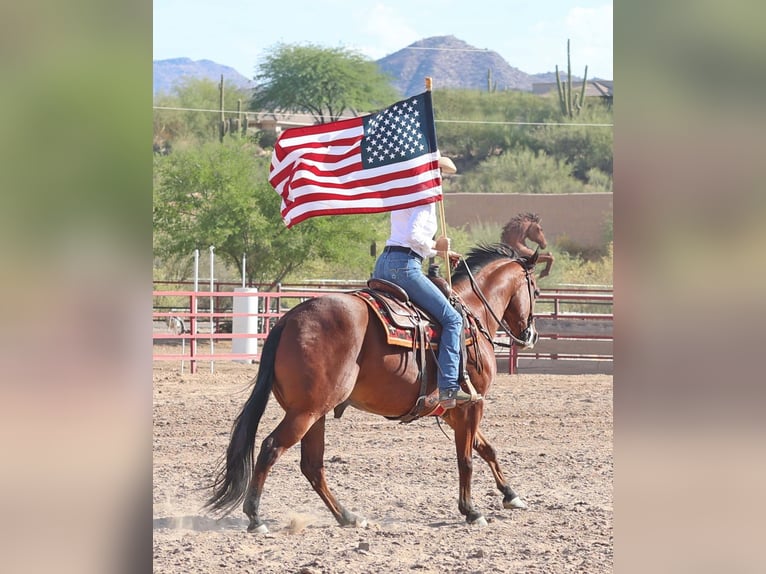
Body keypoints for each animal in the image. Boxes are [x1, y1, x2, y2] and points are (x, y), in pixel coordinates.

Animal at [204, 244, 540, 536]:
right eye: (535, 290)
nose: (531, 334)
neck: (472, 313)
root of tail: (288, 319)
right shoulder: (471, 404)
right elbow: (467, 459)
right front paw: (471, 510)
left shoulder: (452, 411)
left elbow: (486, 449)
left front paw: (511, 495)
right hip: (304, 413)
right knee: (271, 448)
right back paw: (256, 517)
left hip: (315, 414)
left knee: (312, 465)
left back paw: (347, 516)